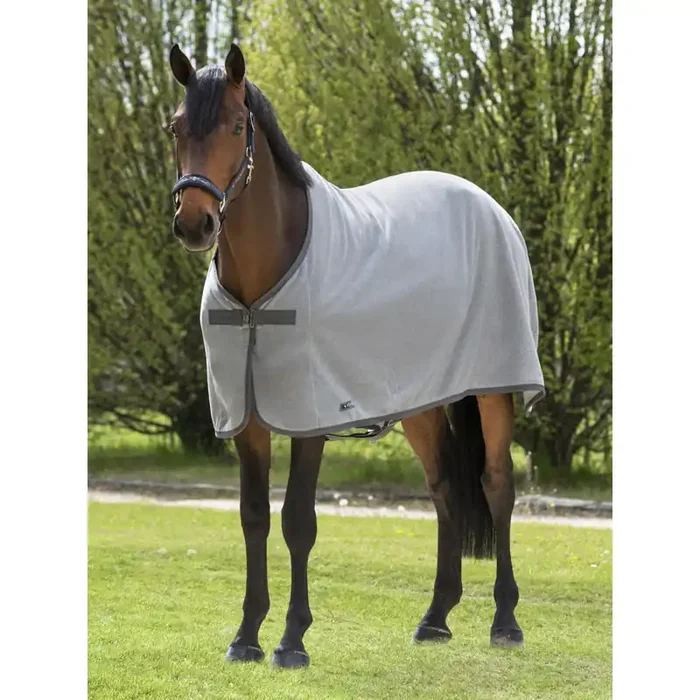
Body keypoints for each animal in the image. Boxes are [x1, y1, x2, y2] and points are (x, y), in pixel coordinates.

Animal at [167, 43, 544, 669]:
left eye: (238, 126)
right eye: (176, 127)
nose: (196, 224)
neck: (262, 286)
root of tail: (490, 207)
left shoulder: (311, 418)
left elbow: (298, 521)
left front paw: (292, 641)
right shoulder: (248, 419)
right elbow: (252, 518)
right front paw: (246, 636)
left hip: (494, 388)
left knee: (496, 485)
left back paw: (507, 621)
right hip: (421, 401)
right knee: (445, 487)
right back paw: (435, 618)